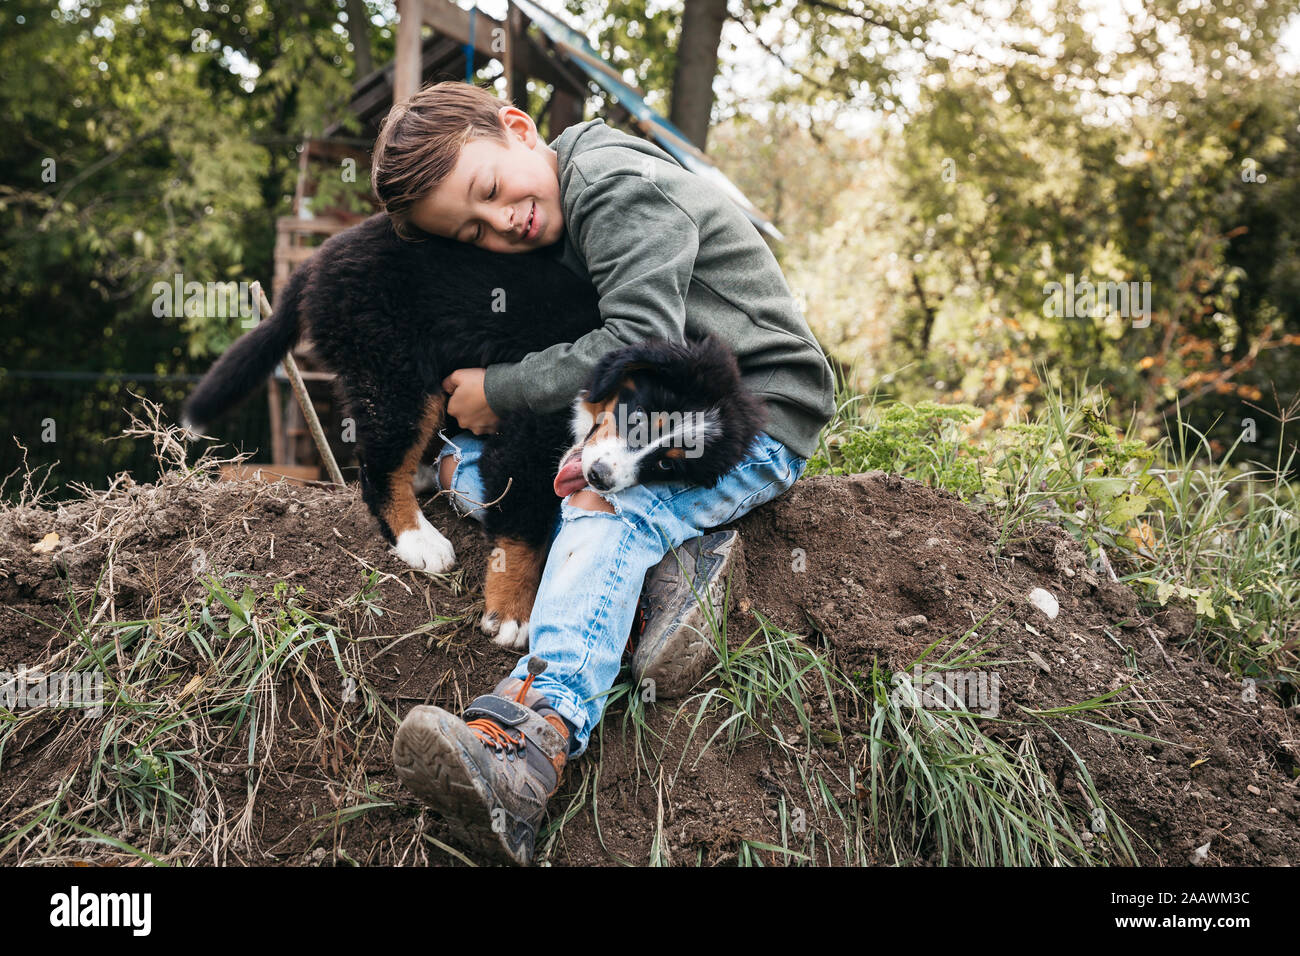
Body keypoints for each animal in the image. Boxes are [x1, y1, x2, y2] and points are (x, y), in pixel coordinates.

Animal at [188, 214, 764, 650]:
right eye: (640, 416)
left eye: (668, 464)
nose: (601, 478)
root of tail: (322, 255)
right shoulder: (525, 443)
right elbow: (525, 530)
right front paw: (513, 614)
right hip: (397, 370)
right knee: (380, 467)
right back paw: (418, 539)